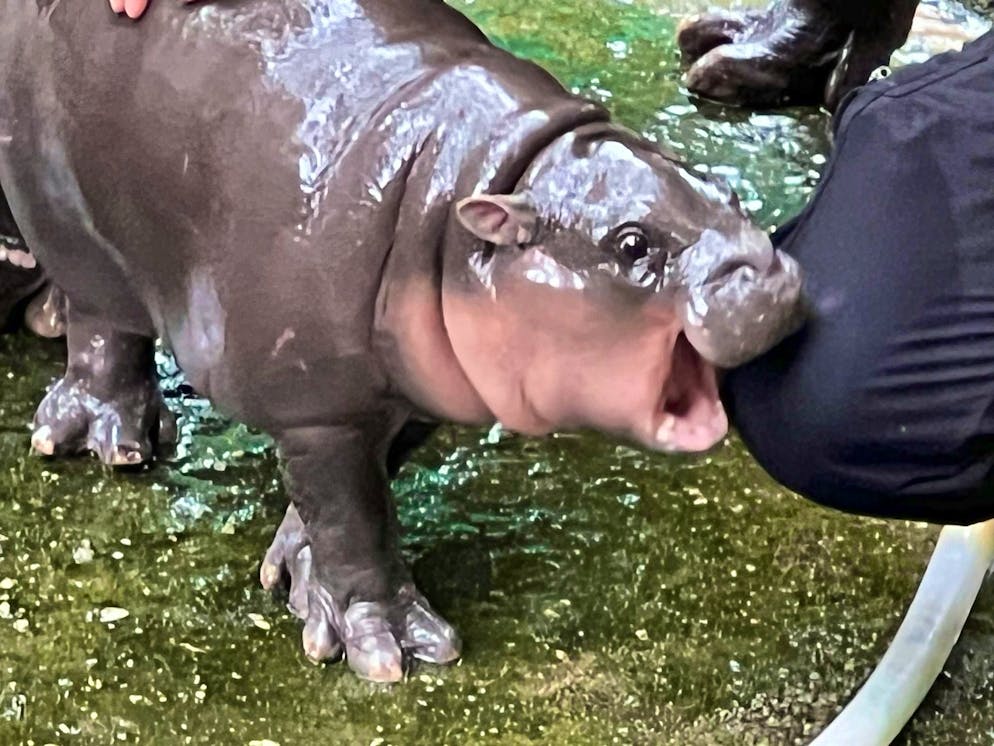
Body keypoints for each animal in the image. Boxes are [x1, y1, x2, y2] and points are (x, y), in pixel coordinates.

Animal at [0, 0, 803, 681]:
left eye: (725, 193)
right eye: (631, 242)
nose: (770, 276)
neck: (467, 200)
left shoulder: (409, 388)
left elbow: (354, 492)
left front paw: (295, 571)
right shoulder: (319, 409)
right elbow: (353, 517)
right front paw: (393, 649)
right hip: (69, 220)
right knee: (104, 326)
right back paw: (107, 440)